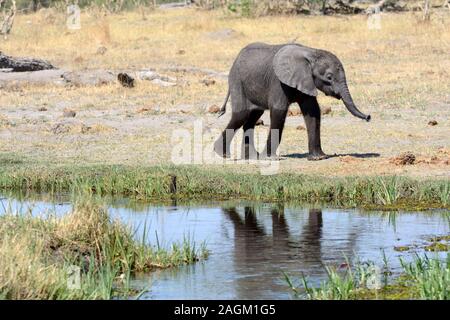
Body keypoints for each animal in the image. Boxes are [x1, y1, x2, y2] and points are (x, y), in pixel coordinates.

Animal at [214, 42, 370, 161]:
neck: (310, 53)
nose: (368, 117)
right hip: (237, 81)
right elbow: (279, 110)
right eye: (329, 77)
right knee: (240, 115)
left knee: (251, 118)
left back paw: (252, 157)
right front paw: (271, 158)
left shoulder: (306, 80)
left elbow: (313, 111)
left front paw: (319, 158)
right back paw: (222, 154)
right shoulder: (277, 81)